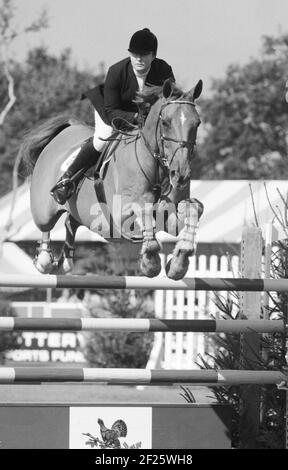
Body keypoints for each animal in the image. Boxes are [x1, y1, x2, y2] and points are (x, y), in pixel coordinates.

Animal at [20, 79, 204, 280]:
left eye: (197, 123)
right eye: (165, 122)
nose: (181, 175)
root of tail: (66, 130)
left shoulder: (168, 215)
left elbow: (194, 207)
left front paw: (178, 263)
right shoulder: (120, 216)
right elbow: (144, 209)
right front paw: (151, 263)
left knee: (70, 222)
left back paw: (65, 262)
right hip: (43, 210)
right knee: (46, 225)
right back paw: (45, 259)